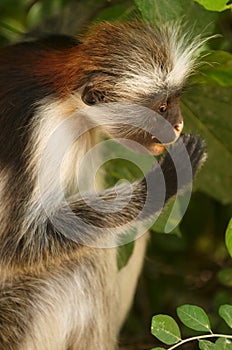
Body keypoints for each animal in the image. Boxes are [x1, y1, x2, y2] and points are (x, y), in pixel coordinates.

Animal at [0, 22, 207, 350]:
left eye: (173, 101)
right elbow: (17, 243)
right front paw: (166, 179)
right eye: (161, 108)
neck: (65, 95)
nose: (178, 125)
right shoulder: (44, 129)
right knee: (82, 265)